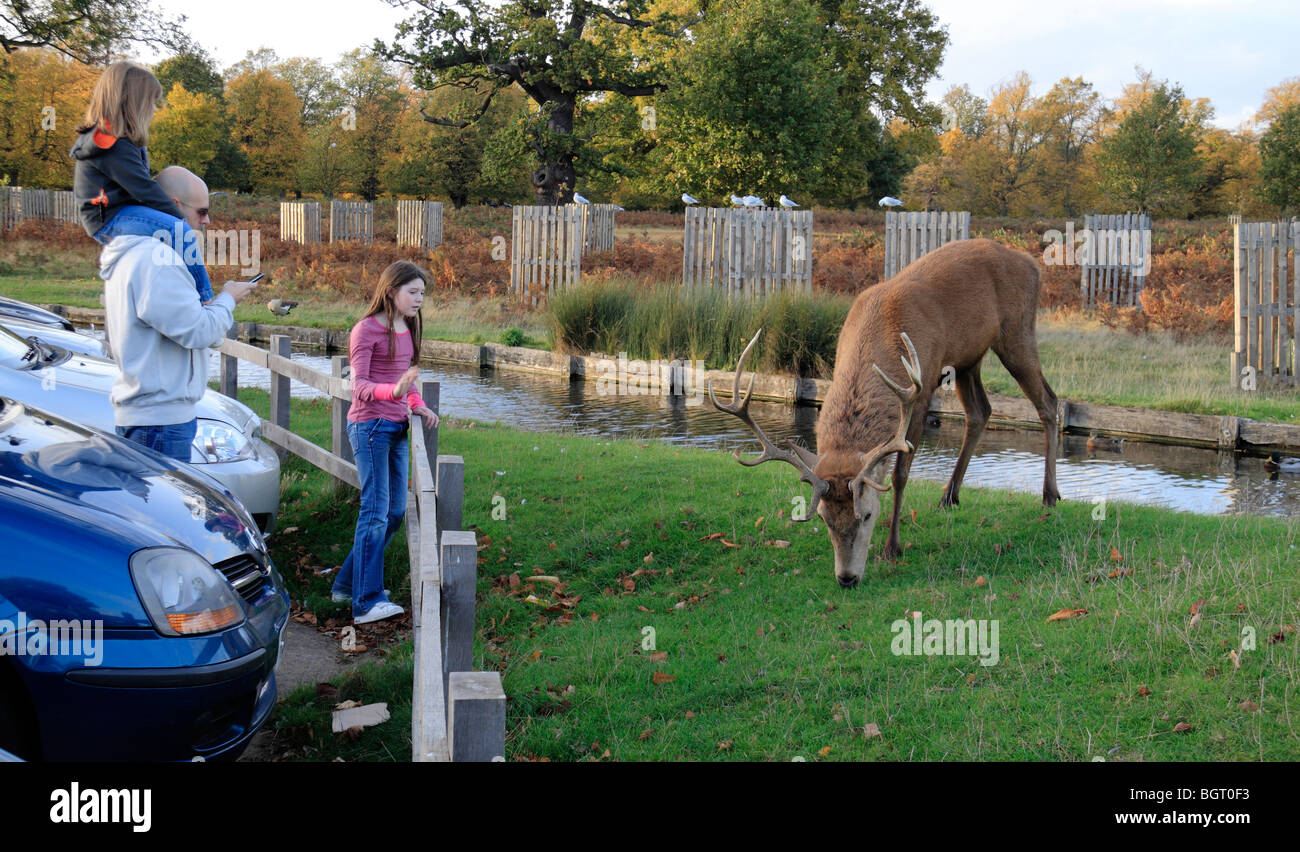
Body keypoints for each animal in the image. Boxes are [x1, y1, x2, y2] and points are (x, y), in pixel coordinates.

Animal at [710, 239, 1061, 588]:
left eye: (866, 514)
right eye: (824, 517)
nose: (847, 577)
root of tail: (1030, 262)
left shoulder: (920, 393)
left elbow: (899, 474)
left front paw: (893, 546)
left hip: (1017, 332)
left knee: (1049, 402)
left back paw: (1049, 495)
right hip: (967, 358)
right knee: (980, 412)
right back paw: (950, 496)